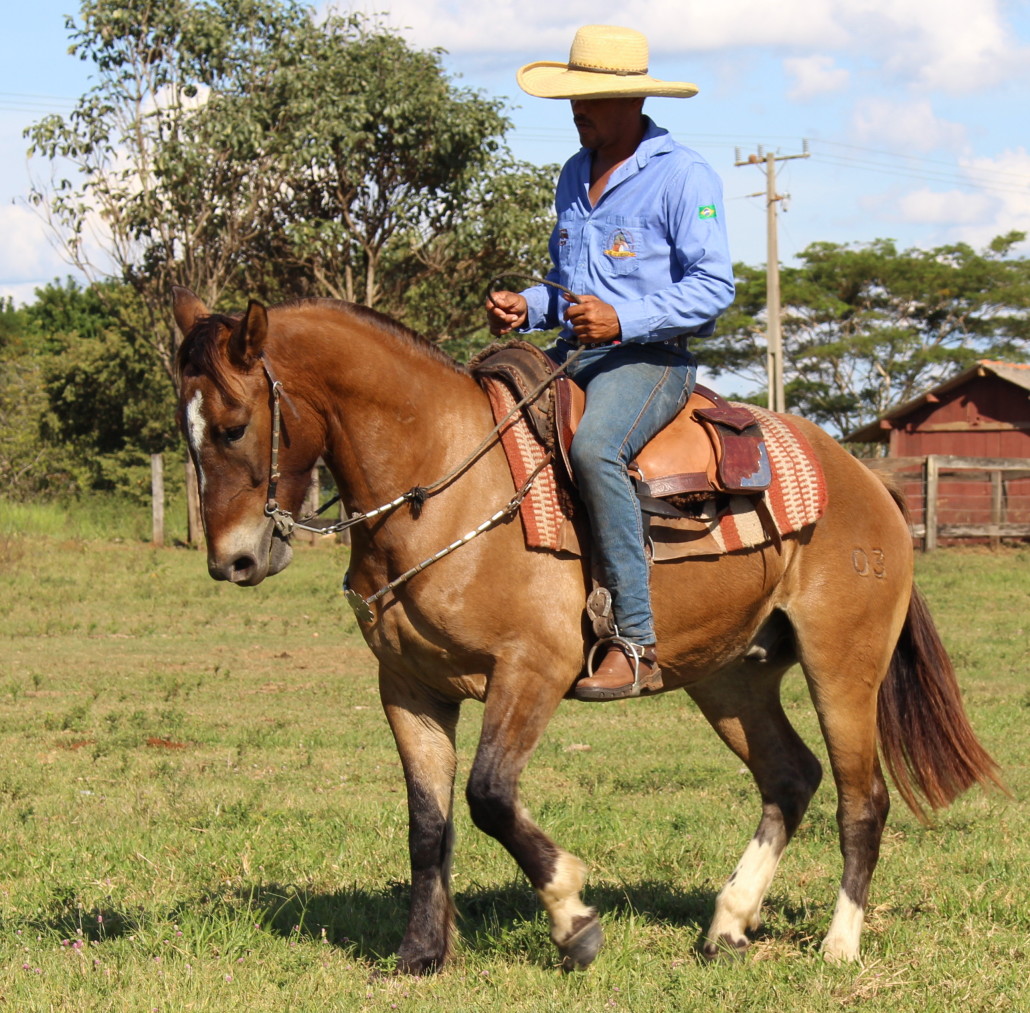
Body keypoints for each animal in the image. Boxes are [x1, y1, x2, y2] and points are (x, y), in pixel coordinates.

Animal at [173, 286, 1001, 972]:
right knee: (790, 776)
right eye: (186, 435)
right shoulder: (409, 688)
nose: (233, 560)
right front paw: (421, 954)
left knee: (863, 799)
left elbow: (489, 795)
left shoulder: (530, 670)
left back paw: (838, 945)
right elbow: (428, 823)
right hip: (731, 676)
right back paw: (728, 923)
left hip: (843, 665)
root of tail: (867, 479)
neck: (443, 480)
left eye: (235, 426)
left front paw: (572, 916)